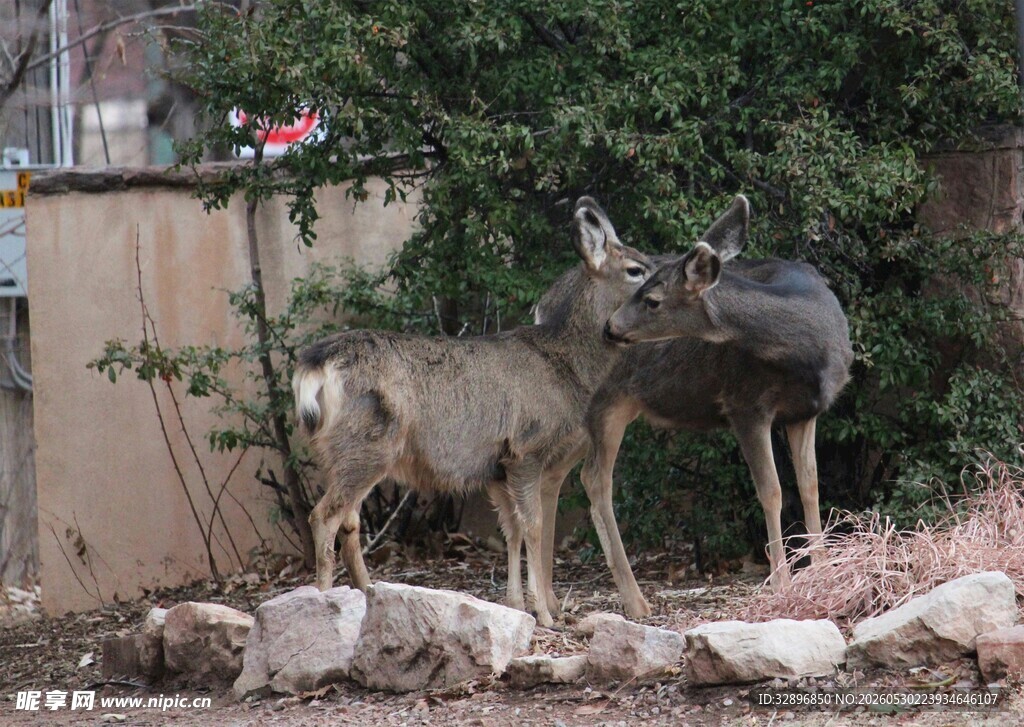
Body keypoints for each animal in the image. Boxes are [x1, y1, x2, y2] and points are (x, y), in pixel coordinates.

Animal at [291, 197, 655, 627]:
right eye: (635, 269)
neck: (564, 365)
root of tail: (316, 364)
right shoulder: (527, 447)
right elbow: (533, 526)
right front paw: (544, 615)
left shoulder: (496, 466)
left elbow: (511, 530)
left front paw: (516, 604)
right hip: (366, 446)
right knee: (324, 516)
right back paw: (324, 601)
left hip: (344, 451)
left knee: (349, 520)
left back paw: (368, 594)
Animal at [581, 195, 854, 617]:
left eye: (652, 299)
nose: (609, 327)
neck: (810, 349)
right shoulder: (745, 404)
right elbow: (772, 491)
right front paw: (781, 582)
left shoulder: (807, 411)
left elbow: (810, 487)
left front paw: (823, 569)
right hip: (605, 400)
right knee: (596, 480)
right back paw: (634, 600)